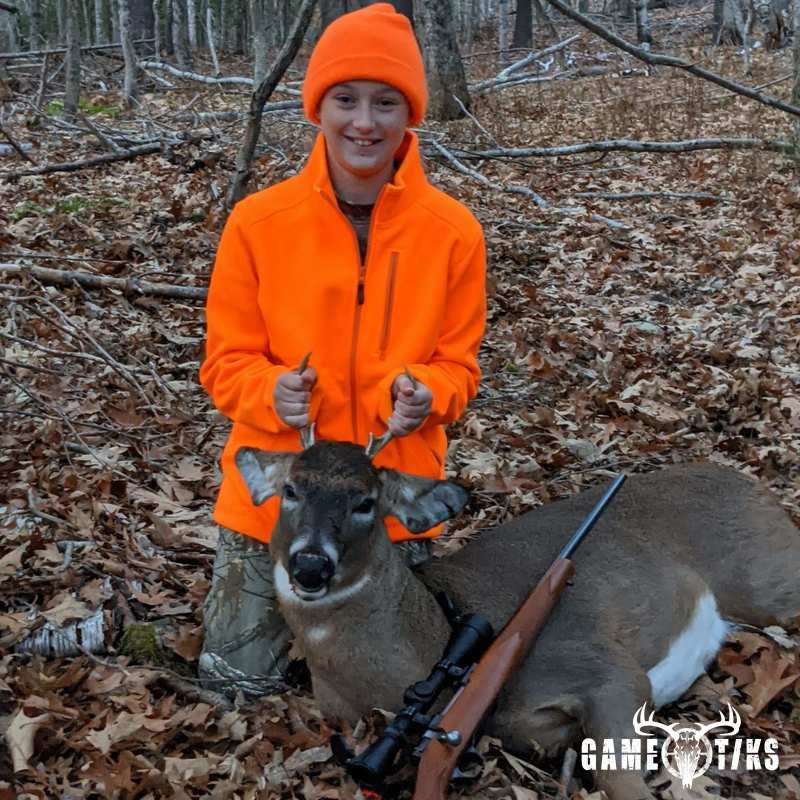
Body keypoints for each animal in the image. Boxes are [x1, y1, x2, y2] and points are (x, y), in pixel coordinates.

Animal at [234, 437, 800, 800]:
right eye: (291, 491)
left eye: (366, 502)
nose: (311, 565)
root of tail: (753, 484)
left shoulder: (602, 667)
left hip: (769, 579)